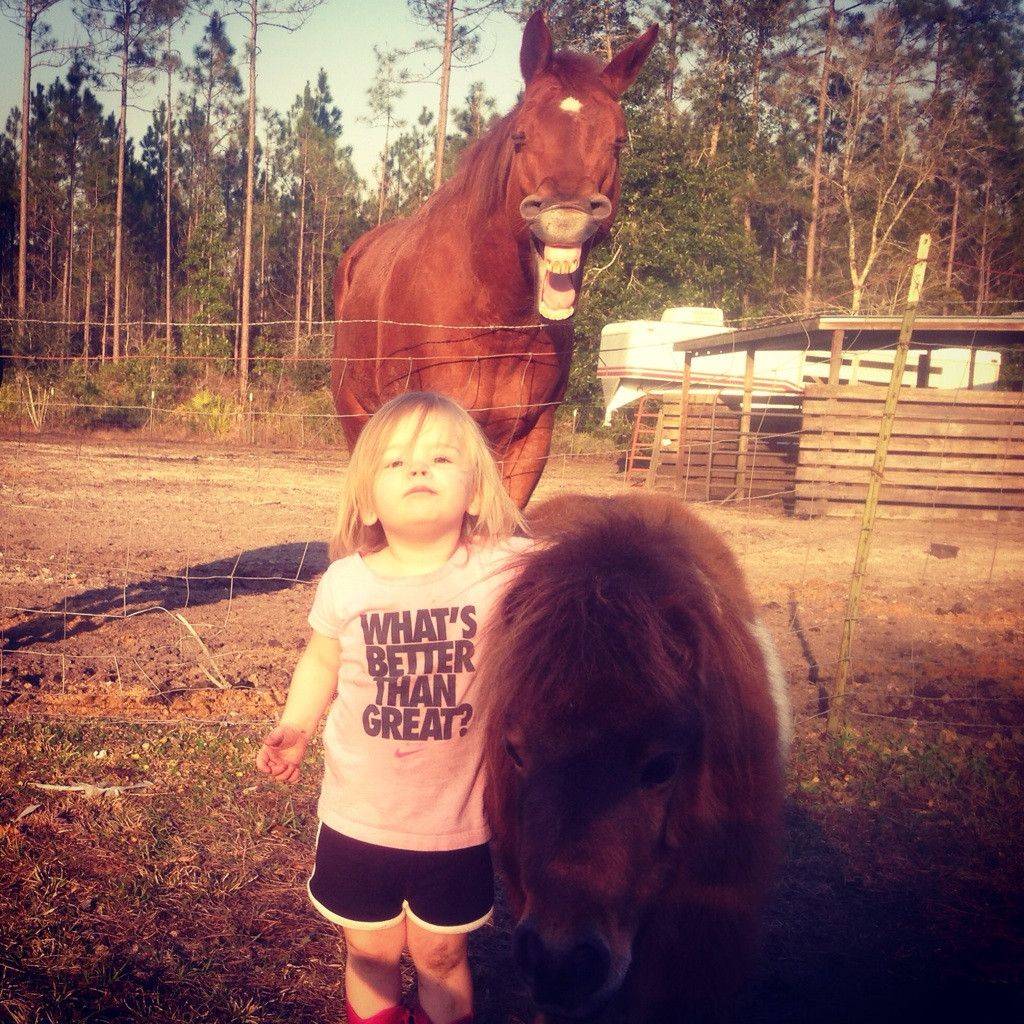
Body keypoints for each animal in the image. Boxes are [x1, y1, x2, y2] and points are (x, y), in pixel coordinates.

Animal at [331, 8, 659, 503]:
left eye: (619, 141)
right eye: (521, 136)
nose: (565, 217)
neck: (497, 322)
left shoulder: (529, 441)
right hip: (357, 419)